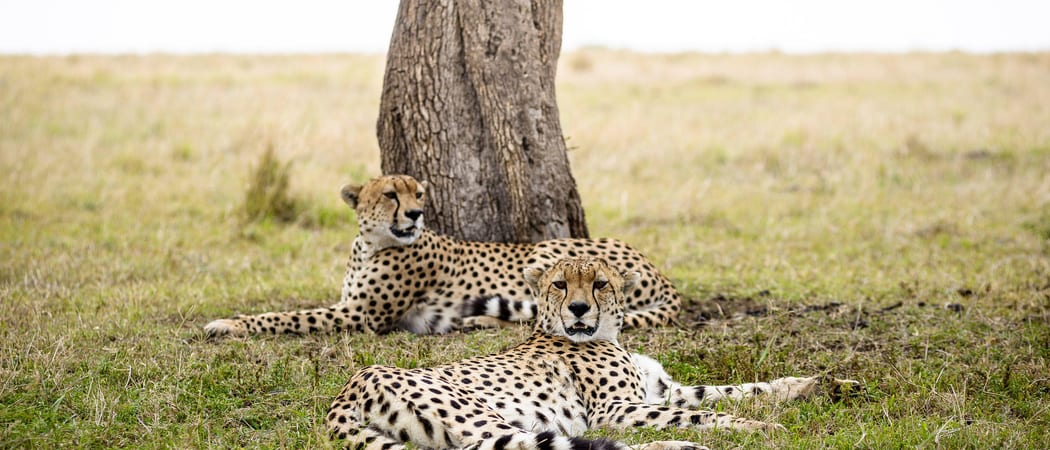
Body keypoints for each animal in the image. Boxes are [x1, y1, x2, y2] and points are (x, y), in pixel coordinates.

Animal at [204, 174, 681, 337]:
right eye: (390, 194)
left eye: (418, 193)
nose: (415, 213)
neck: (371, 244)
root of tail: (660, 272)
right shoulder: (349, 305)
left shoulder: (360, 316)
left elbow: (284, 317)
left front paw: (228, 324)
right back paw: (475, 321)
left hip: (548, 249)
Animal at [325, 256, 862, 450]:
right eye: (560, 284)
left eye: (600, 283)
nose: (579, 308)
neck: (608, 333)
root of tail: (353, 383)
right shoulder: (614, 409)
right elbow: (705, 412)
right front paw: (761, 428)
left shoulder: (664, 390)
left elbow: (732, 390)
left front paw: (820, 384)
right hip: (486, 420)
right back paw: (683, 447)